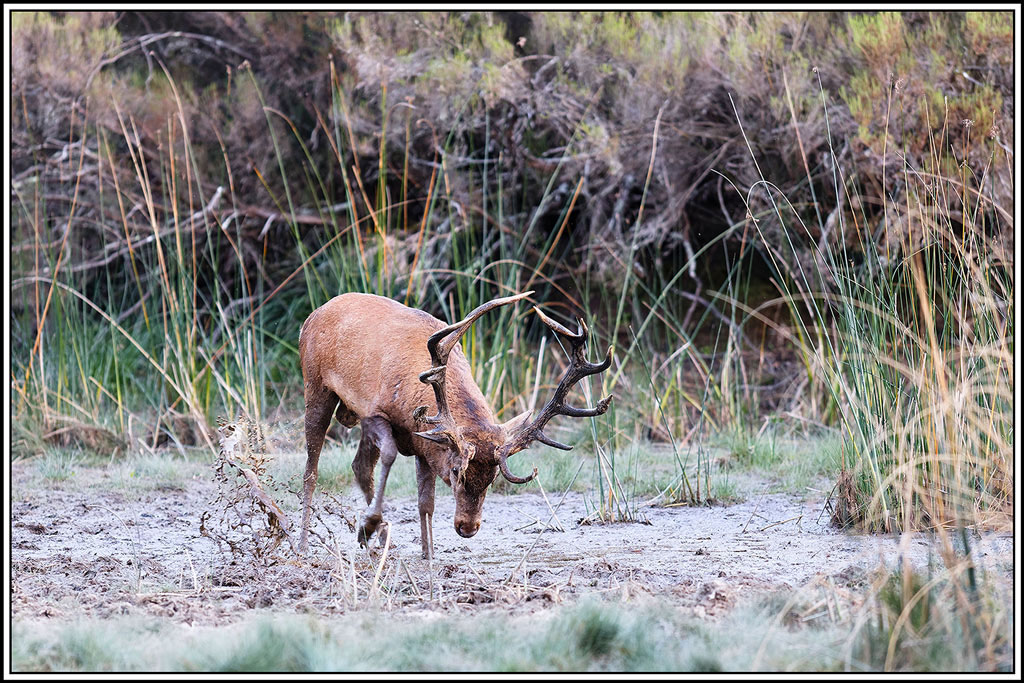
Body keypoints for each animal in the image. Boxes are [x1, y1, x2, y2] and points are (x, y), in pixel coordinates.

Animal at [297, 290, 612, 558]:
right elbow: (389, 455)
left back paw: (383, 539)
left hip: (351, 412)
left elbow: (426, 501)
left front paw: (428, 553)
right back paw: (304, 544)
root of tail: (313, 314)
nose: (468, 528)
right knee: (312, 470)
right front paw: (368, 526)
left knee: (359, 466)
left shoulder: (423, 442)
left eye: (492, 478)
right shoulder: (375, 411)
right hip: (316, 385)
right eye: (456, 472)